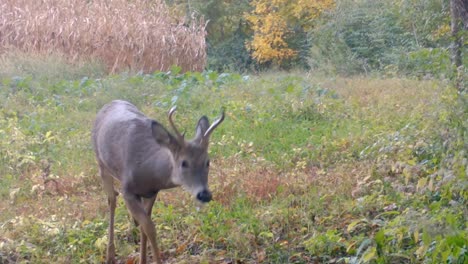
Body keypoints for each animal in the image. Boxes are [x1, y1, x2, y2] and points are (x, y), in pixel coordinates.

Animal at [92, 100, 225, 262]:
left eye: (207, 162)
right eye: (184, 163)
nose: (204, 194)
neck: (149, 170)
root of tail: (111, 103)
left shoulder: (151, 193)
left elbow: (144, 227)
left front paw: (143, 260)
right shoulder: (127, 191)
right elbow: (150, 228)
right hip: (101, 164)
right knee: (111, 199)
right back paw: (110, 255)